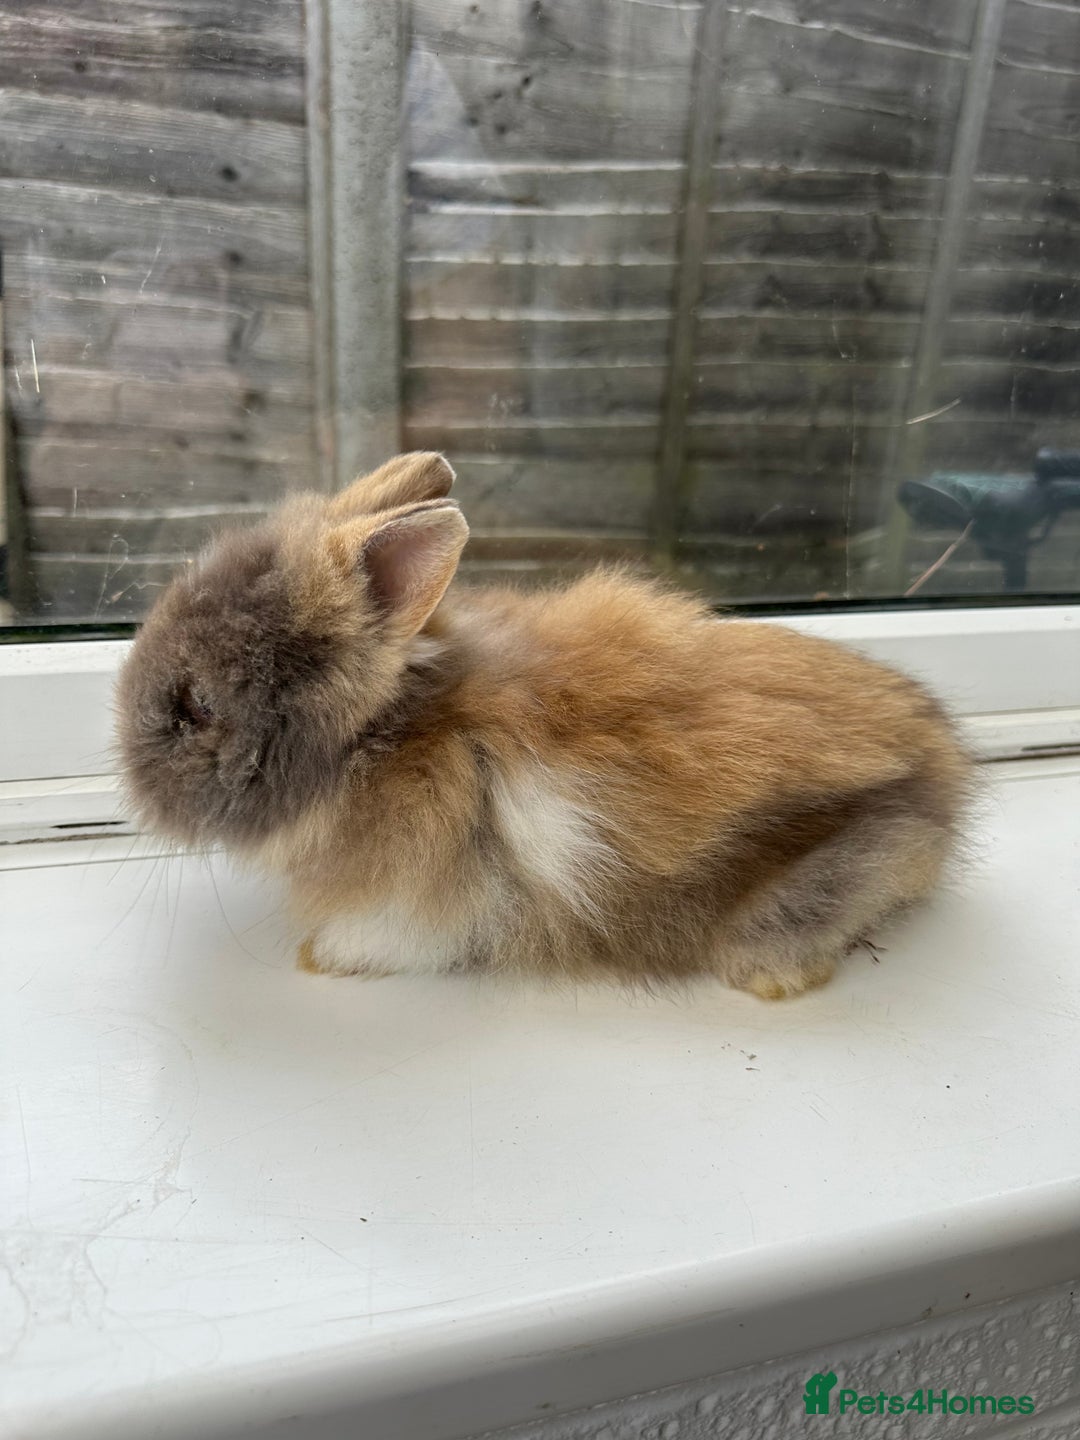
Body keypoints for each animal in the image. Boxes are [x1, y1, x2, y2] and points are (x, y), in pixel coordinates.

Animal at [117, 451, 975, 998]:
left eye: (196, 708)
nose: (129, 773)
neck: (389, 733)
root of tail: (946, 774)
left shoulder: (422, 893)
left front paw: (321, 959)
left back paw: (770, 974)